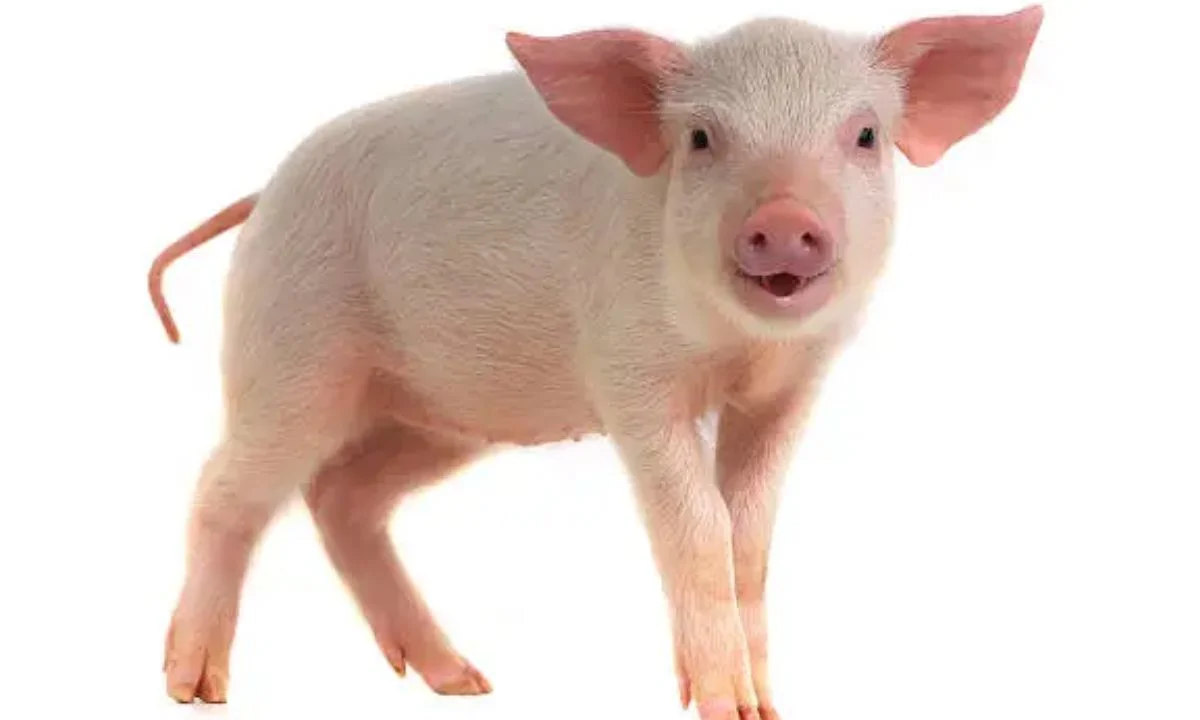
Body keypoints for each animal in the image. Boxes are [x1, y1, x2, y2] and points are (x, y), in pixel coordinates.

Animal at [149, 6, 1044, 719]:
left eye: (864, 135)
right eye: (701, 138)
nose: (786, 219)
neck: (736, 348)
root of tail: (264, 195)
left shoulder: (792, 388)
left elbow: (749, 534)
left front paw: (767, 708)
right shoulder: (631, 375)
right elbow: (698, 524)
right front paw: (725, 707)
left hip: (439, 413)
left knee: (343, 496)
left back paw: (463, 681)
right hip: (292, 350)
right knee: (225, 490)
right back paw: (196, 688)